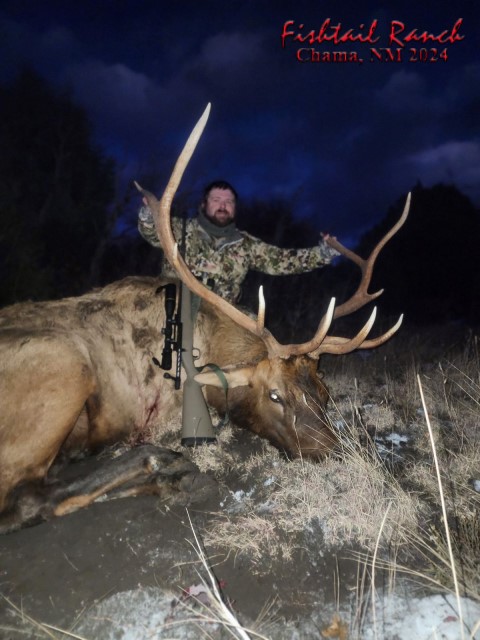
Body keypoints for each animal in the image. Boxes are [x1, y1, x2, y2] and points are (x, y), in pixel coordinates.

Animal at [0, 103, 410, 532]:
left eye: (324, 394)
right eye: (274, 395)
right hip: (64, 363)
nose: (332, 454)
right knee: (26, 499)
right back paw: (165, 468)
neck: (207, 347)